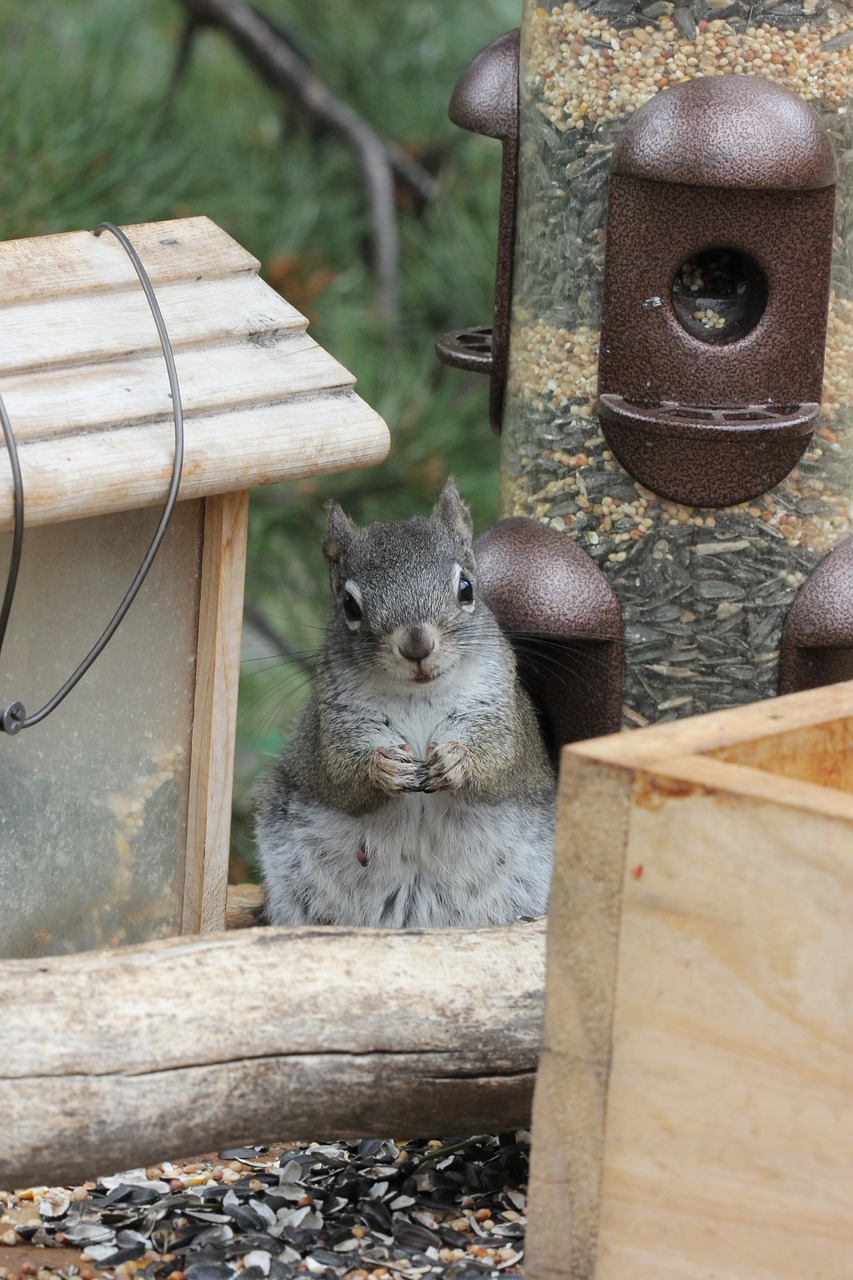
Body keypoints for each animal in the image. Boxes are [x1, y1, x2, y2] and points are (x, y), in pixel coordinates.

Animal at [252, 481, 555, 931]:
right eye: (349, 605)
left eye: (466, 588)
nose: (417, 645)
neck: (417, 694)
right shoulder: (334, 725)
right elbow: (340, 775)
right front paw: (384, 768)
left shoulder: (500, 711)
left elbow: (499, 760)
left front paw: (456, 760)